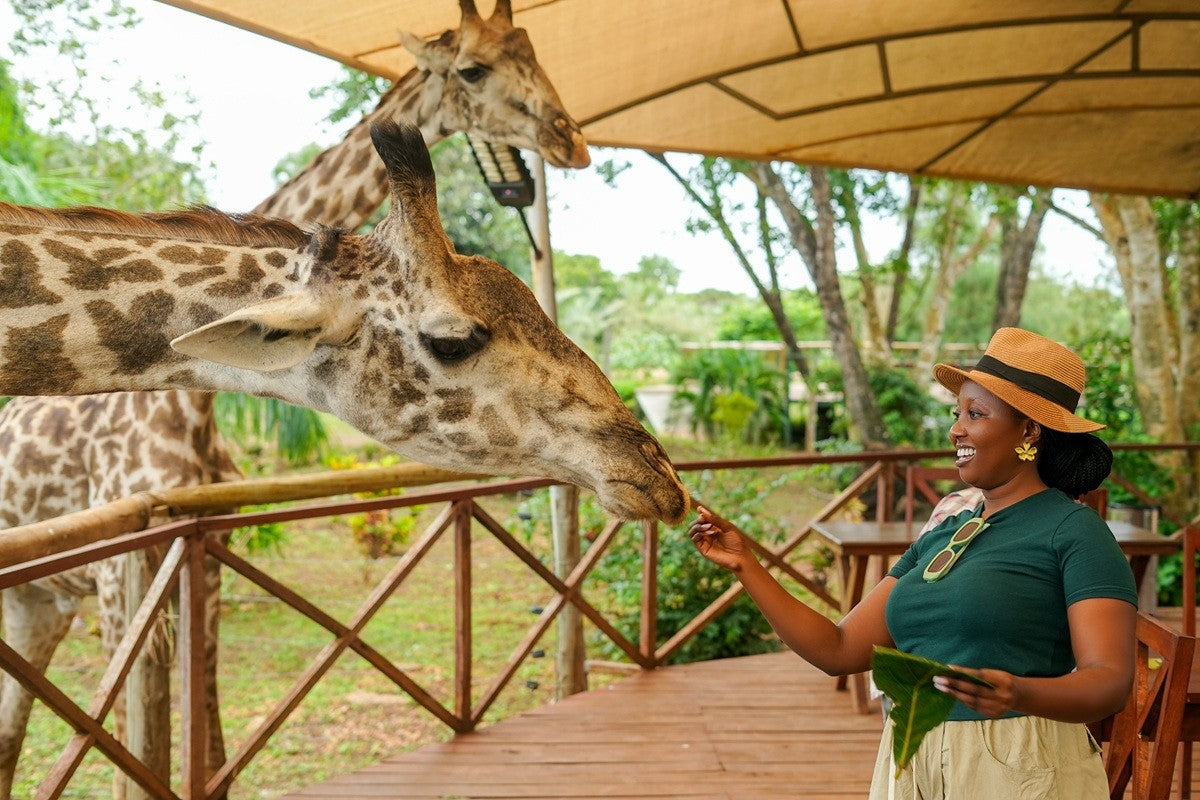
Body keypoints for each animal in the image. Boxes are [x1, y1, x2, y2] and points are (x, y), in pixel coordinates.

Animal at [0, 1, 590, 795]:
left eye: (533, 54)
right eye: (473, 69)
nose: (570, 138)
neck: (187, 405)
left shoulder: (204, 562)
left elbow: (211, 741)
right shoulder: (129, 577)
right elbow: (136, 755)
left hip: (41, 599)